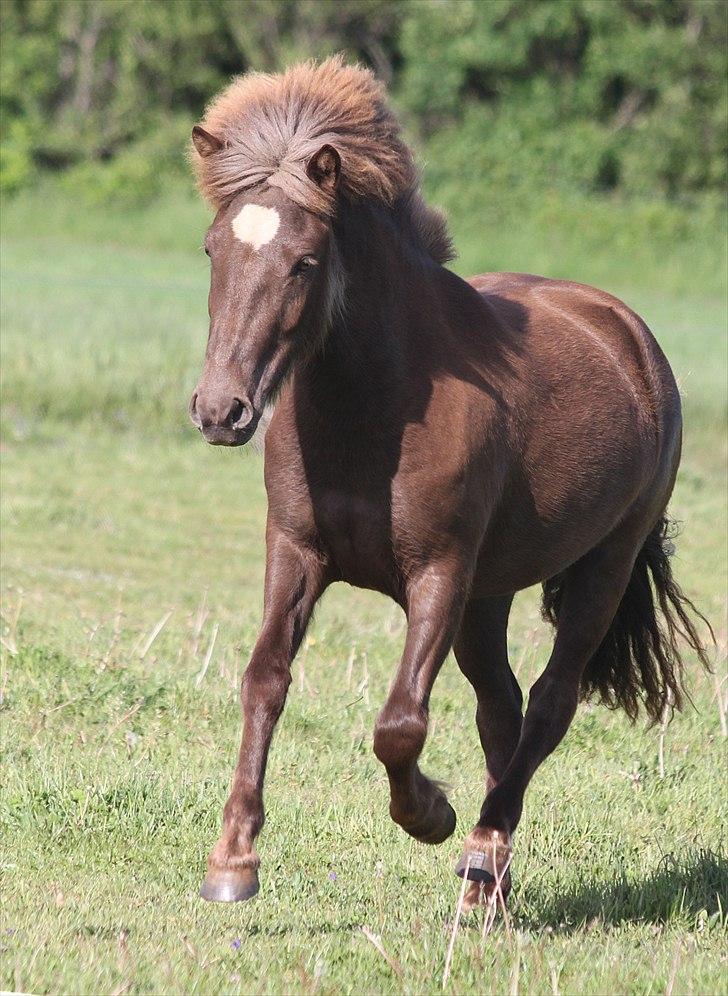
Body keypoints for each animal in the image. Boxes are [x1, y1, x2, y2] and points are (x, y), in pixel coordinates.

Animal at [185, 58, 708, 908]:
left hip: (601, 567)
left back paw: (479, 852)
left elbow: (401, 721)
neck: (374, 409)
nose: (220, 410)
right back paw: (488, 882)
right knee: (503, 712)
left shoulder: (439, 573)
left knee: (549, 704)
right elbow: (265, 679)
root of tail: (631, 336)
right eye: (211, 251)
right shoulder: (295, 553)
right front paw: (233, 860)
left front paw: (430, 814)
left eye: (305, 261)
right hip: (489, 597)